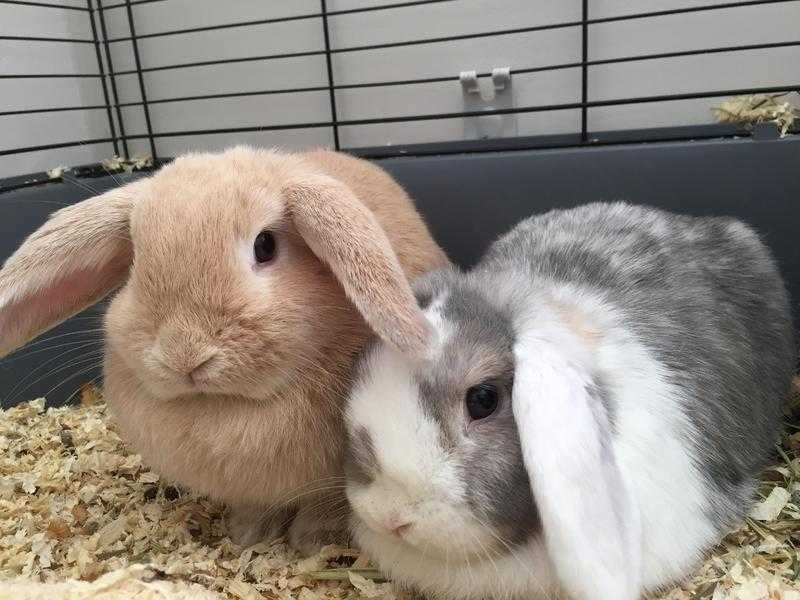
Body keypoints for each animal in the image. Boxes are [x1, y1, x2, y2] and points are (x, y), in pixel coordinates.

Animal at [0, 145, 450, 552]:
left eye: (265, 245)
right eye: (135, 262)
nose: (184, 355)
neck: (225, 408)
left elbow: (324, 506)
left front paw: (312, 541)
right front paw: (247, 536)